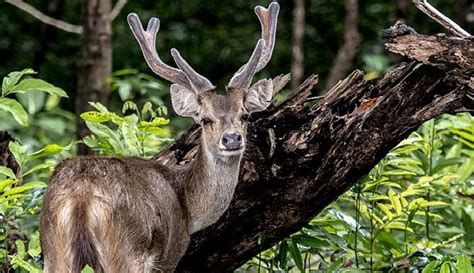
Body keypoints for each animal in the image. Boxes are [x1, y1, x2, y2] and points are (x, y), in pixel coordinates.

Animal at [40, 2, 280, 272]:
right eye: (205, 120)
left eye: (245, 115)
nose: (232, 139)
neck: (188, 208)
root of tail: (81, 196)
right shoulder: (171, 253)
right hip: (127, 250)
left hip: (54, 250)